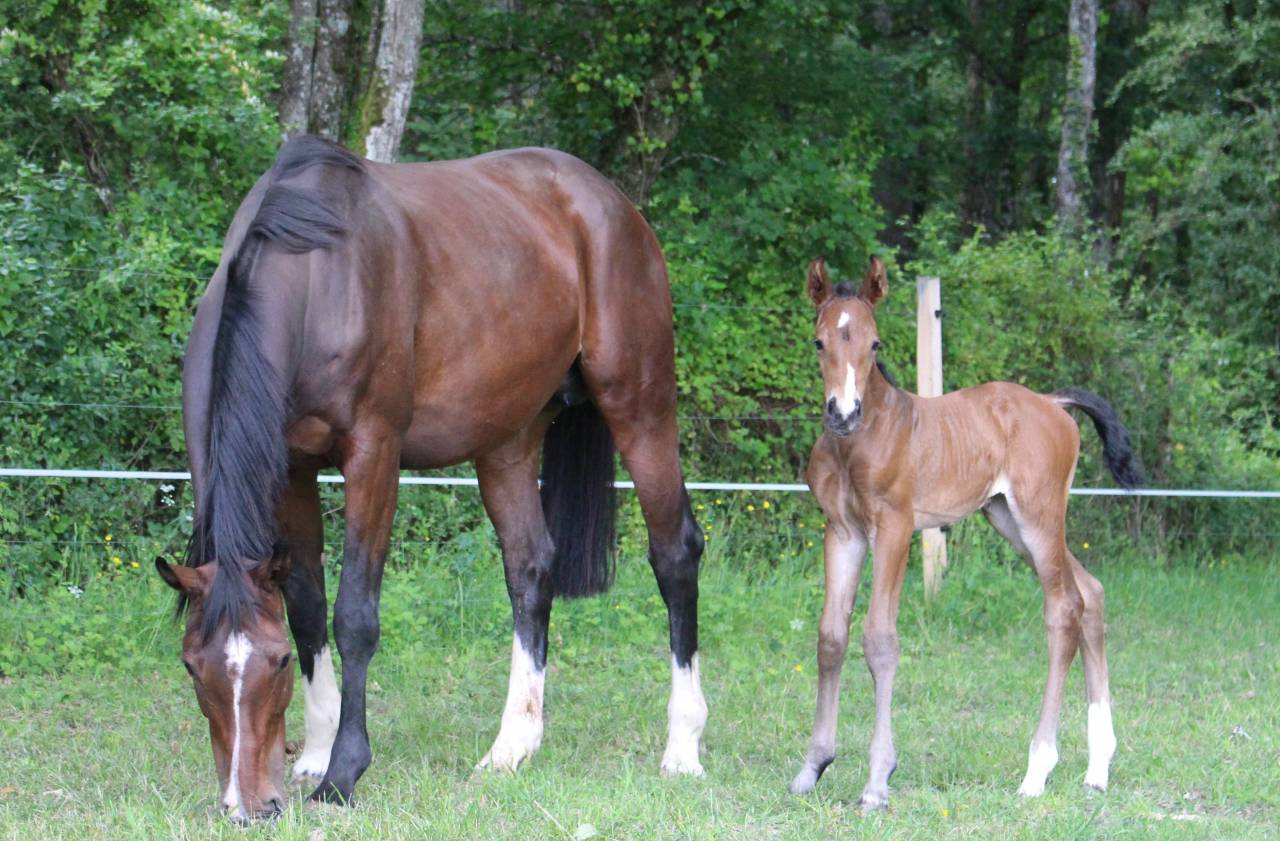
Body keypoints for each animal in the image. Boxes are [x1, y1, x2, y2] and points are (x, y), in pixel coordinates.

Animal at [154, 136, 707, 821]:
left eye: (277, 664)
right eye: (190, 665)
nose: (249, 806)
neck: (315, 277)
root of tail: (612, 204)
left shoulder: (373, 455)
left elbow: (354, 615)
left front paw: (342, 772)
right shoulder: (294, 470)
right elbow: (307, 607)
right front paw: (315, 751)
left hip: (640, 404)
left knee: (675, 555)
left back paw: (682, 748)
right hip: (507, 440)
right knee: (530, 569)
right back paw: (511, 747)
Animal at [788, 257, 1140, 809]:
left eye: (875, 343)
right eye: (819, 341)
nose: (843, 414)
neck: (860, 443)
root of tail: (1051, 402)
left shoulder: (895, 528)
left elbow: (880, 640)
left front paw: (877, 781)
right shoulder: (841, 532)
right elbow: (831, 638)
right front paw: (813, 767)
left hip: (1038, 517)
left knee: (1064, 608)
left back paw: (1037, 770)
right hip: (1007, 519)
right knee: (1091, 592)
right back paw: (1097, 768)